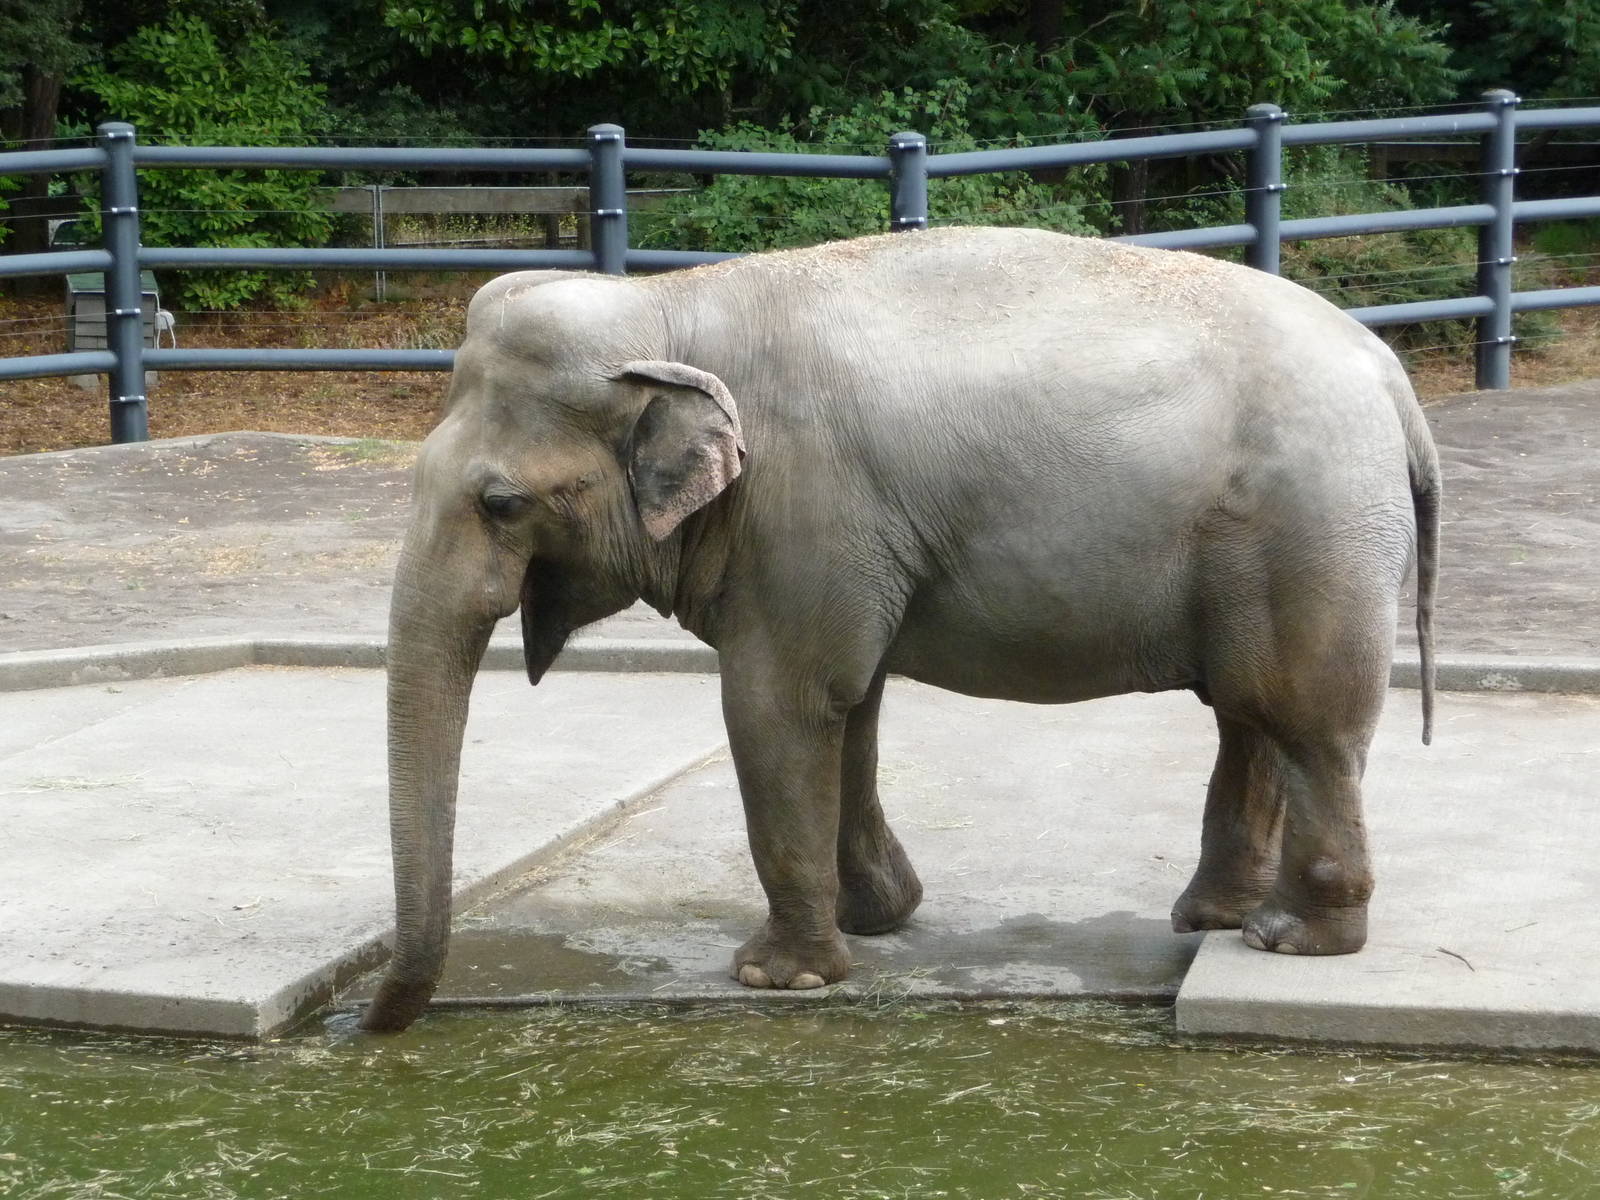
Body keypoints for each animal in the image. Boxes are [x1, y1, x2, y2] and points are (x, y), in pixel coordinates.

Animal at [360, 225, 1439, 1033]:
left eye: (500, 503)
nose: (376, 1024)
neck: (662, 307)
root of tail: (1391, 378)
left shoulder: (803, 503)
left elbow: (780, 704)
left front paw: (777, 979)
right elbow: (855, 704)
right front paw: (877, 921)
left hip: (1309, 531)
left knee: (1304, 718)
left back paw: (1291, 940)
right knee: (1249, 714)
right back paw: (1212, 919)